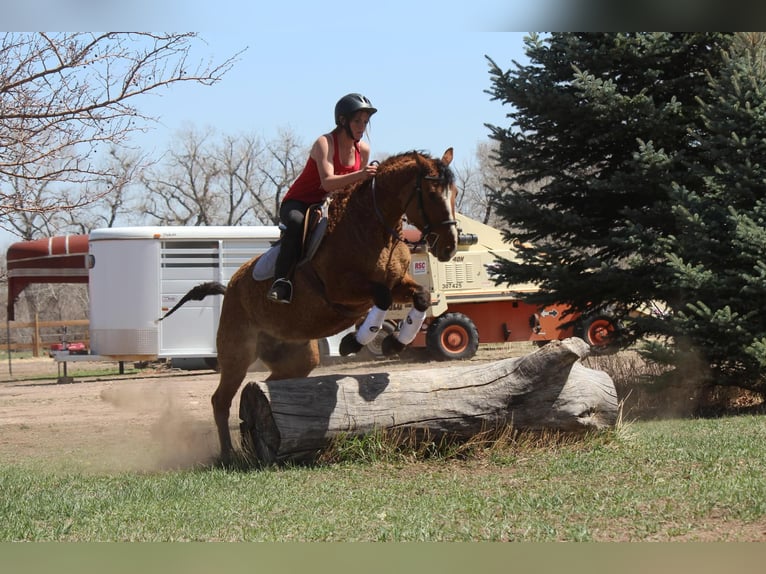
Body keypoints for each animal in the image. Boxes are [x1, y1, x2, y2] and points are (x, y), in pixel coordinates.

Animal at [161, 148, 459, 462]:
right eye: (432, 194)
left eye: (454, 193)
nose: (450, 247)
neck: (372, 227)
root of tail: (229, 288)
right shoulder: (343, 289)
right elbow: (381, 298)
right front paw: (353, 342)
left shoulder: (398, 282)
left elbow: (421, 297)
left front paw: (394, 343)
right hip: (237, 353)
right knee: (220, 399)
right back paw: (228, 454)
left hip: (298, 356)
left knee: (273, 382)